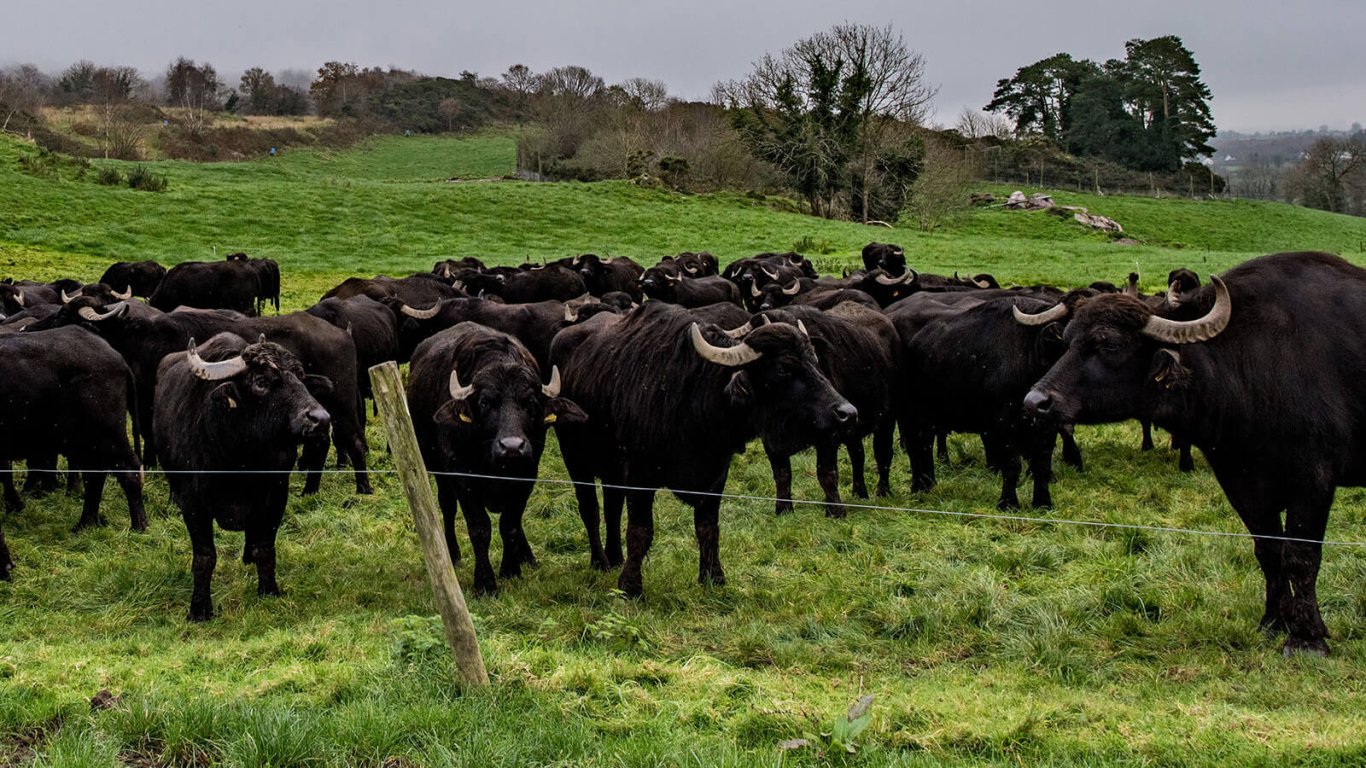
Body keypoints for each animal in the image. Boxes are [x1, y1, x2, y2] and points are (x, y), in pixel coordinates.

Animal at [0, 325, 145, 535]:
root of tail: (116, 357)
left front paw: (15, 505)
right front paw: (14, 505)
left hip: (107, 433)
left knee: (126, 468)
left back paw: (139, 525)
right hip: (87, 439)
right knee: (95, 474)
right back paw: (86, 523)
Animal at [155, 332, 333, 617]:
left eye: (301, 377)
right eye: (261, 382)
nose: (321, 419)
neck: (239, 462)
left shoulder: (275, 497)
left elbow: (265, 548)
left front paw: (269, 590)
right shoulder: (192, 504)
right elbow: (205, 556)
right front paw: (200, 608)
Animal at [407, 319, 584, 595]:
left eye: (530, 402)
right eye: (484, 402)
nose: (512, 447)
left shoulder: (527, 473)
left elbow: (509, 523)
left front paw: (511, 570)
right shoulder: (462, 475)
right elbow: (480, 527)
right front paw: (485, 582)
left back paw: (527, 556)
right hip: (436, 467)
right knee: (447, 505)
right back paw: (452, 553)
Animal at [546, 302, 852, 595]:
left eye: (814, 361)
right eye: (784, 369)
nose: (846, 412)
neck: (692, 398)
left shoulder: (716, 475)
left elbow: (708, 528)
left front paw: (713, 577)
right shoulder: (638, 475)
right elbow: (640, 531)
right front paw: (630, 586)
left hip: (610, 469)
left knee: (612, 506)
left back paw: (615, 557)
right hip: (575, 460)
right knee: (590, 510)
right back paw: (600, 561)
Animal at [1027, 250, 1366, 650]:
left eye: (1109, 344)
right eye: (1067, 340)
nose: (1035, 402)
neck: (1249, 362)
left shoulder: (1313, 480)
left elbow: (1301, 556)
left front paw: (1307, 638)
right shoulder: (1240, 479)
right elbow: (1268, 550)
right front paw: (1273, 621)